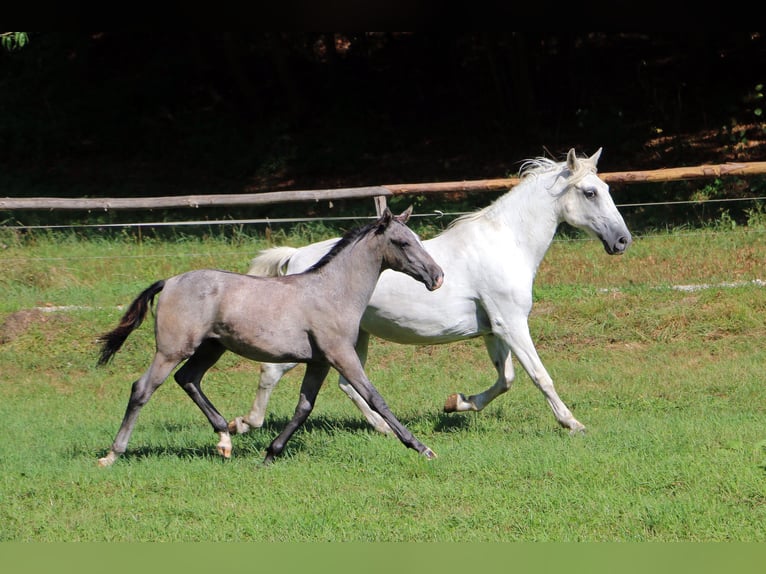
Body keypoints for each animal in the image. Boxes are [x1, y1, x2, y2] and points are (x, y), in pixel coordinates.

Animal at [231, 148, 632, 436]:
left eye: (608, 190)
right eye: (590, 192)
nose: (622, 241)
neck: (507, 243)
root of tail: (296, 257)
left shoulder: (494, 330)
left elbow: (505, 380)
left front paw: (456, 403)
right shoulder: (513, 323)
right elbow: (539, 376)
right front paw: (573, 424)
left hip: (355, 338)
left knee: (348, 384)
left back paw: (382, 428)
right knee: (273, 371)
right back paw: (243, 424)